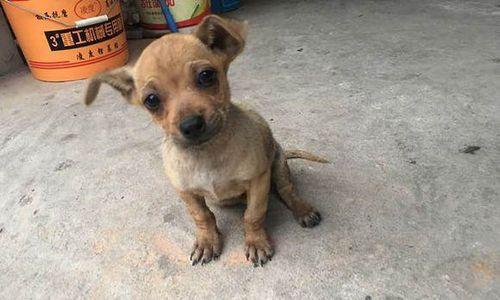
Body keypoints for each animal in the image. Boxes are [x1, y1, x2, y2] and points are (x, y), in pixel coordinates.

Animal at [85, 15, 328, 266]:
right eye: (151, 100)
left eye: (206, 76)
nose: (191, 125)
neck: (206, 153)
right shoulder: (185, 192)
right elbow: (202, 216)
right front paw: (207, 241)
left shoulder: (258, 180)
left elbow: (253, 215)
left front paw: (256, 242)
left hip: (278, 165)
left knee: (287, 191)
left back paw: (302, 210)